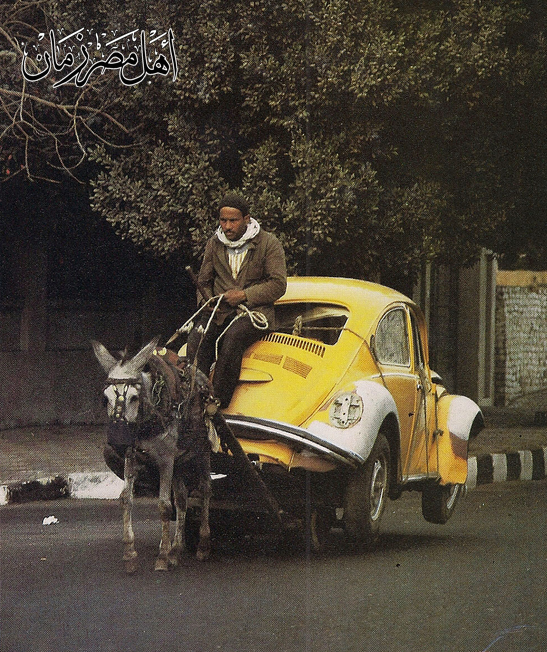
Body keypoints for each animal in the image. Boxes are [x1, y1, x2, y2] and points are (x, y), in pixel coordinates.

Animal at [92, 337, 217, 572]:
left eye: (133, 397)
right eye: (105, 398)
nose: (117, 440)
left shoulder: (166, 461)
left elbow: (164, 506)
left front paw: (162, 557)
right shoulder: (132, 457)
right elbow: (126, 499)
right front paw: (130, 554)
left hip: (202, 452)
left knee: (205, 489)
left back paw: (203, 546)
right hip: (179, 462)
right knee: (182, 499)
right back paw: (177, 549)